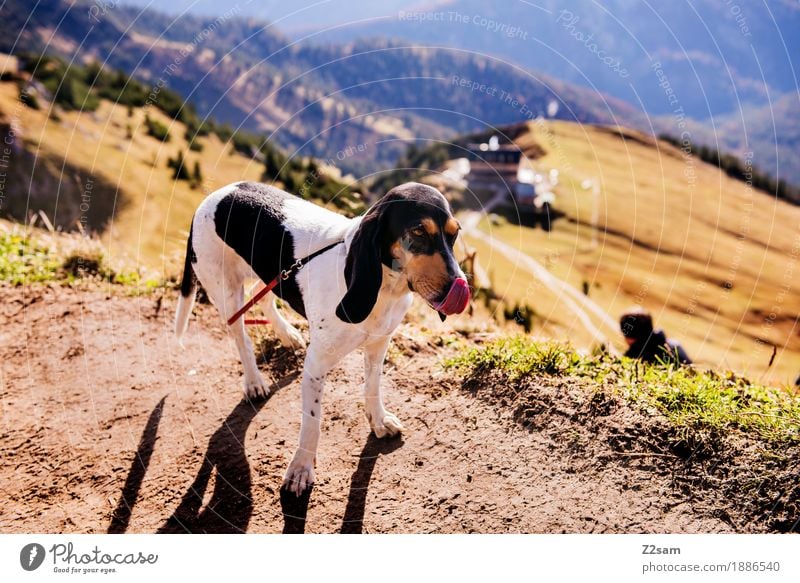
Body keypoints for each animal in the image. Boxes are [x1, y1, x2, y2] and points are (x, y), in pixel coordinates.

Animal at [175, 180, 468, 496]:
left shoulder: (379, 345)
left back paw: (288, 334)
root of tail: (216, 195)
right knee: (242, 337)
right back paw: (254, 382)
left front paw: (378, 421)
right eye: (418, 232)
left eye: (454, 234)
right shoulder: (316, 366)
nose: (458, 287)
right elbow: (312, 423)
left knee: (262, 295)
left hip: (269, 277)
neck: (386, 290)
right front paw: (301, 469)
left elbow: (372, 387)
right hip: (226, 293)